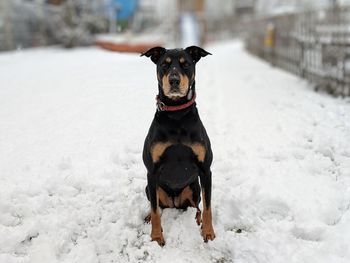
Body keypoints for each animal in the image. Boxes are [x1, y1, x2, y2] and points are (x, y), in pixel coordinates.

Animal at [141, 46, 215, 246]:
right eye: (164, 65)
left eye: (186, 64)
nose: (174, 80)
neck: (177, 115)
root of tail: (174, 202)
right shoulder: (152, 171)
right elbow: (155, 211)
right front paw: (156, 237)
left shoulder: (205, 170)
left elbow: (208, 207)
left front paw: (208, 233)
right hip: (150, 188)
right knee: (157, 206)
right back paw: (148, 217)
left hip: (194, 187)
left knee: (196, 207)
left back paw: (196, 218)